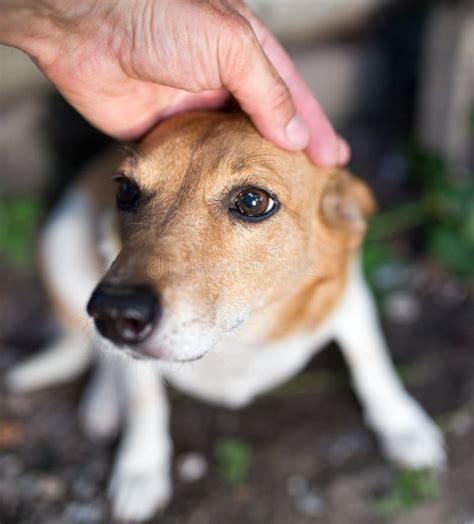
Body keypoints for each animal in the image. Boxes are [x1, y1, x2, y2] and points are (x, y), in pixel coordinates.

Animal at [5, 110, 446, 520]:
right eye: (126, 190)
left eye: (253, 201)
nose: (113, 313)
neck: (237, 337)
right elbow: (144, 401)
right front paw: (141, 469)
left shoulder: (348, 298)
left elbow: (371, 364)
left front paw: (403, 426)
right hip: (61, 246)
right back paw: (103, 402)